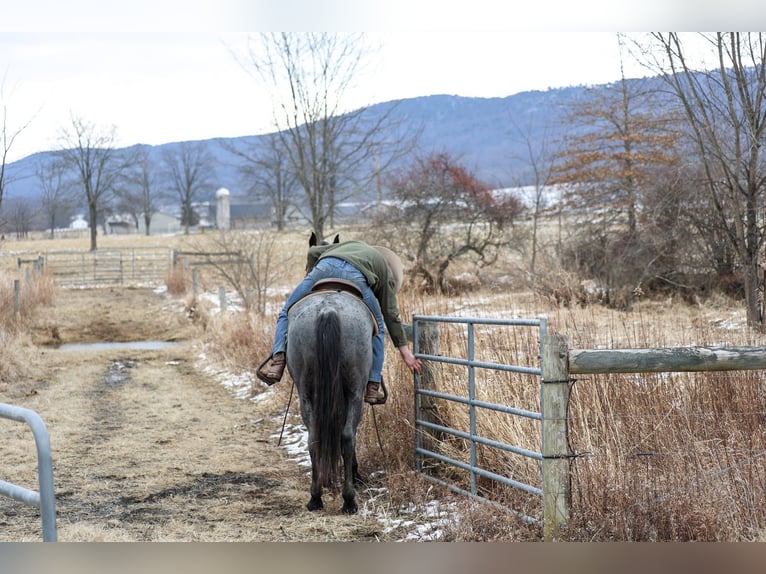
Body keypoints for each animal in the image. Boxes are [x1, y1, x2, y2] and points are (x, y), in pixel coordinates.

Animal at [286, 284, 374, 514]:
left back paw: (315, 497)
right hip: (355, 393)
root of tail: (328, 311)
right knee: (348, 437)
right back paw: (349, 500)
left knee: (313, 438)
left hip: (306, 393)